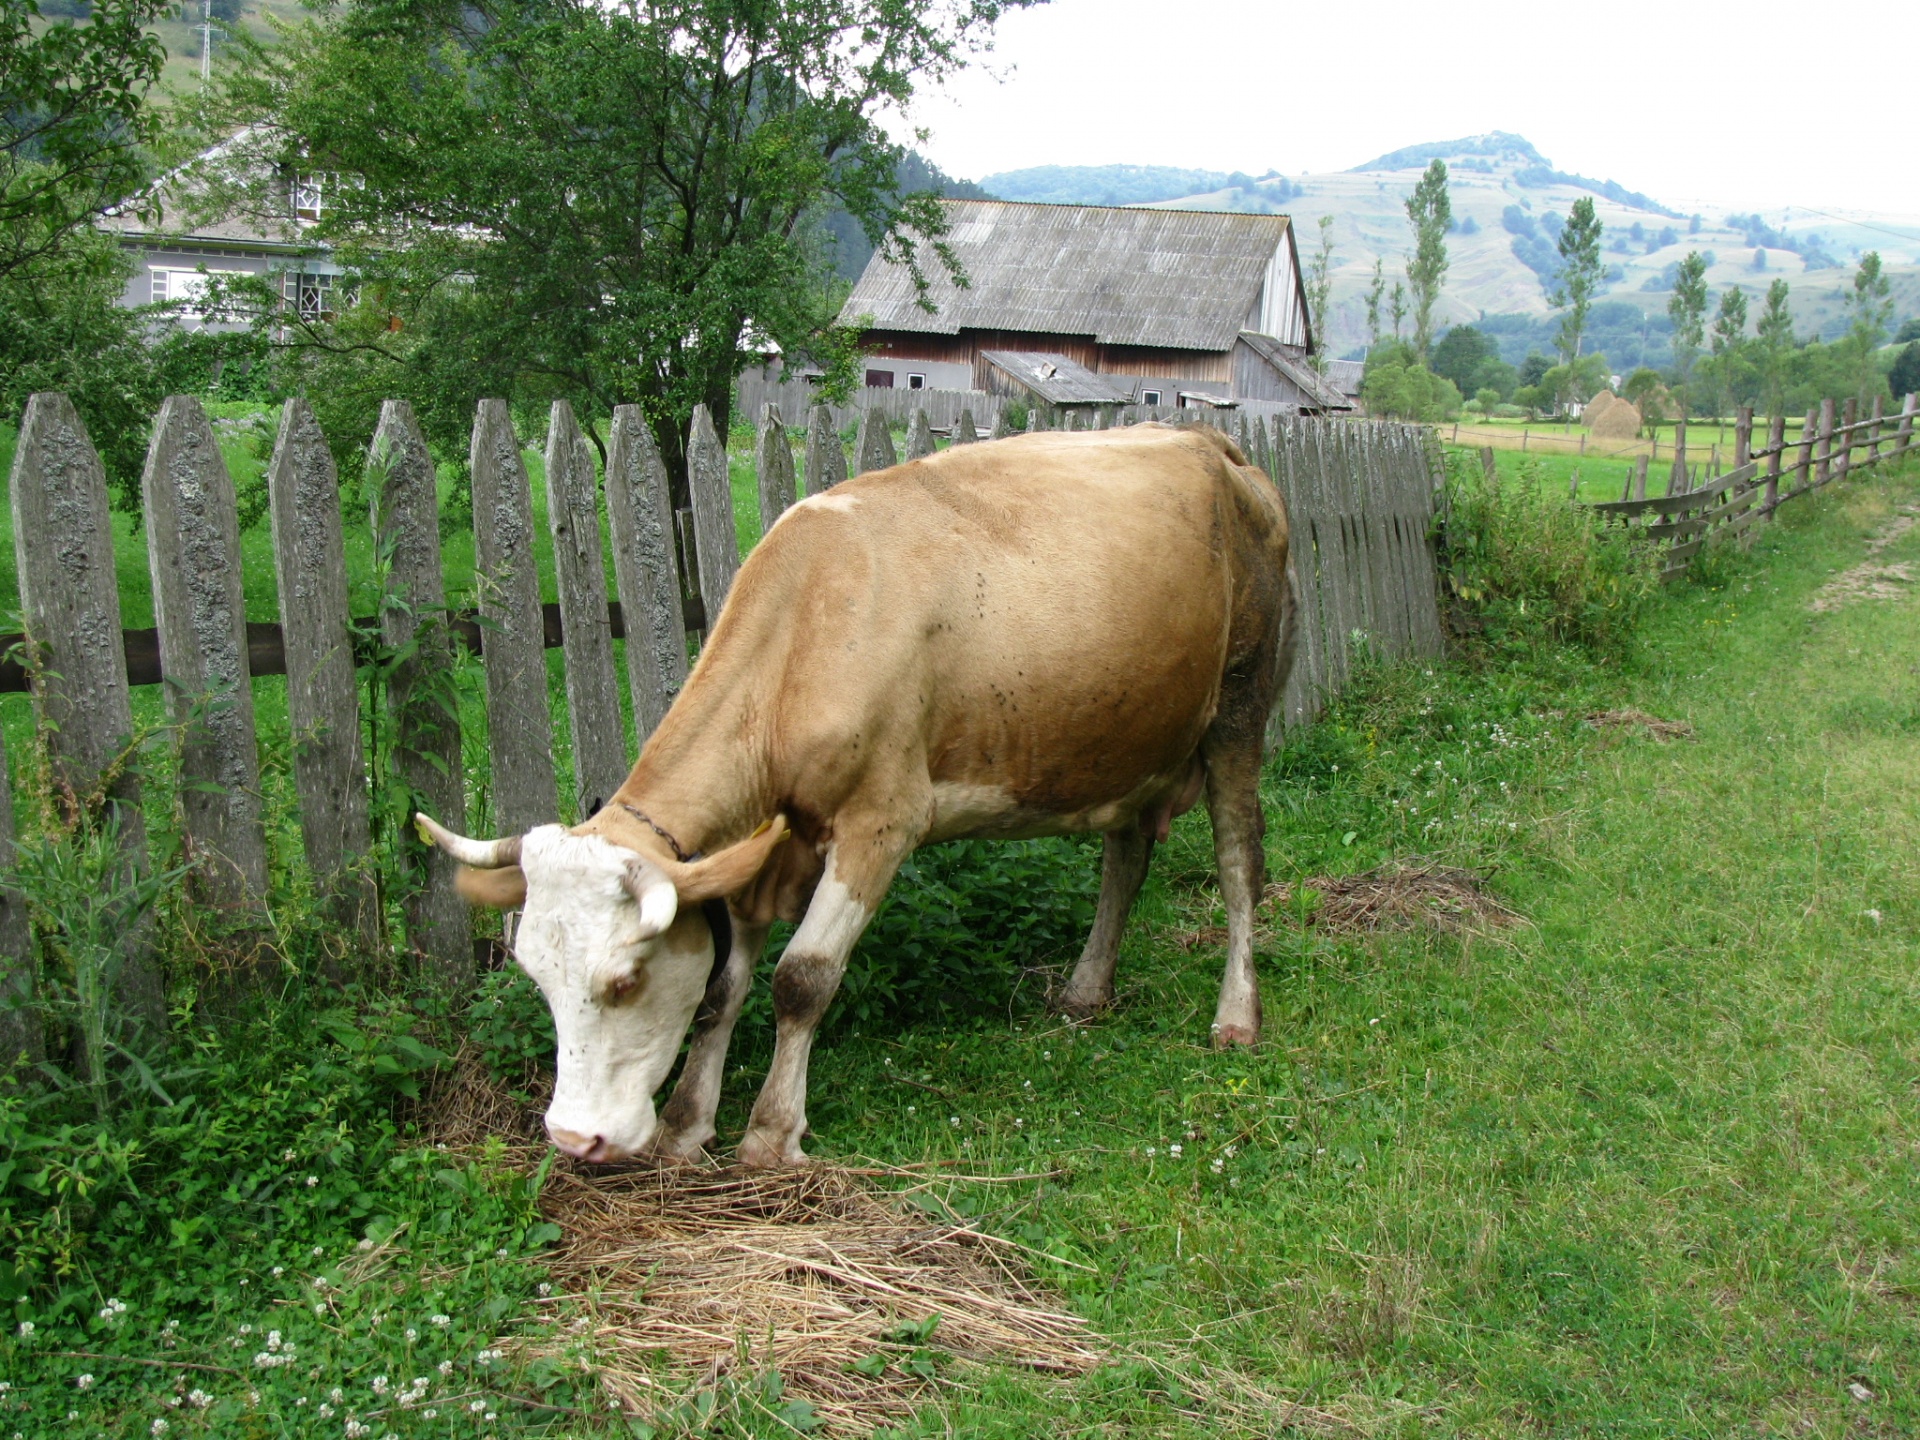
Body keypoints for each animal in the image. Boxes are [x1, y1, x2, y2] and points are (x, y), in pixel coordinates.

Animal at [416, 422, 1290, 1167]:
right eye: (535, 974)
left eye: (623, 980)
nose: (573, 1139)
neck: (805, 631)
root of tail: (1209, 440)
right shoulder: (765, 843)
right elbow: (722, 990)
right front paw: (686, 1125)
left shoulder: (882, 822)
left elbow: (802, 979)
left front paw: (771, 1134)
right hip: (1130, 734)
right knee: (1127, 854)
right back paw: (1084, 990)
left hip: (1240, 705)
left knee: (1239, 860)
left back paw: (1237, 1016)